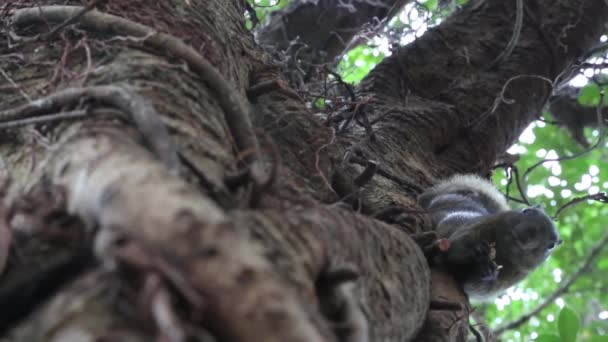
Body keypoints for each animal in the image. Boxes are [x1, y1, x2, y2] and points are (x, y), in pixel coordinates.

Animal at [418, 175, 560, 300]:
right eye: (527, 211)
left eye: (551, 245)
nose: (528, 233)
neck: (504, 246)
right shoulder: (477, 227)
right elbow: (456, 246)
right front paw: (478, 251)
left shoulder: (512, 276)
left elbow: (477, 285)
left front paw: (489, 271)